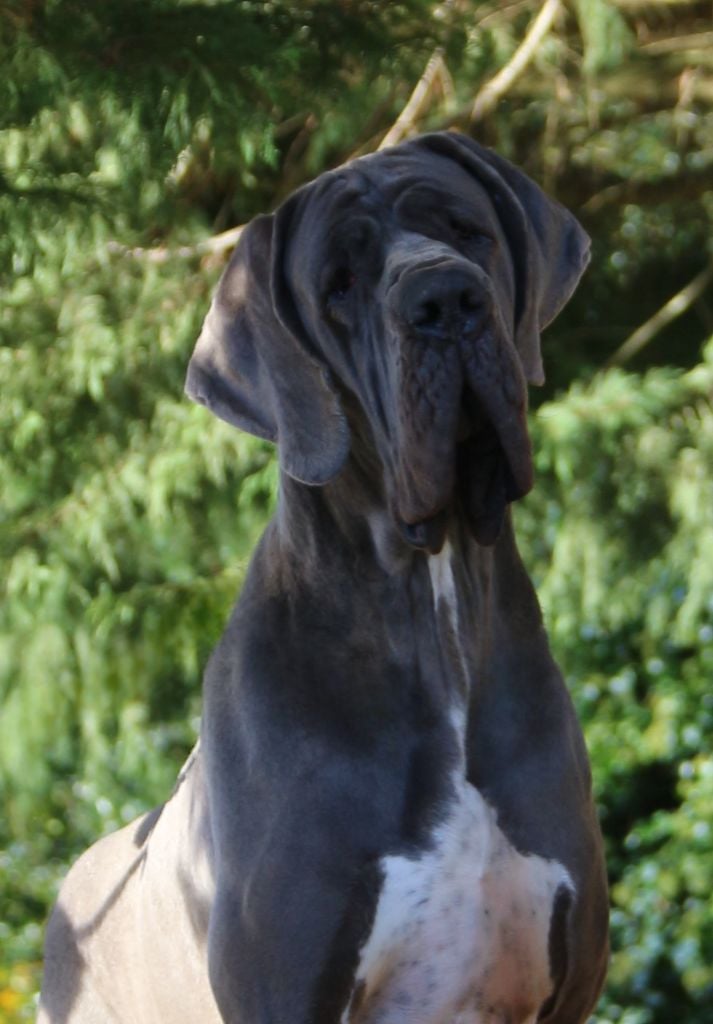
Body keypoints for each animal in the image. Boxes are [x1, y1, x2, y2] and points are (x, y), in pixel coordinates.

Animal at [38, 132, 606, 1019]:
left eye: (467, 232)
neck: (428, 602)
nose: (444, 299)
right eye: (338, 284)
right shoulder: (286, 988)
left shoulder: (569, 987)